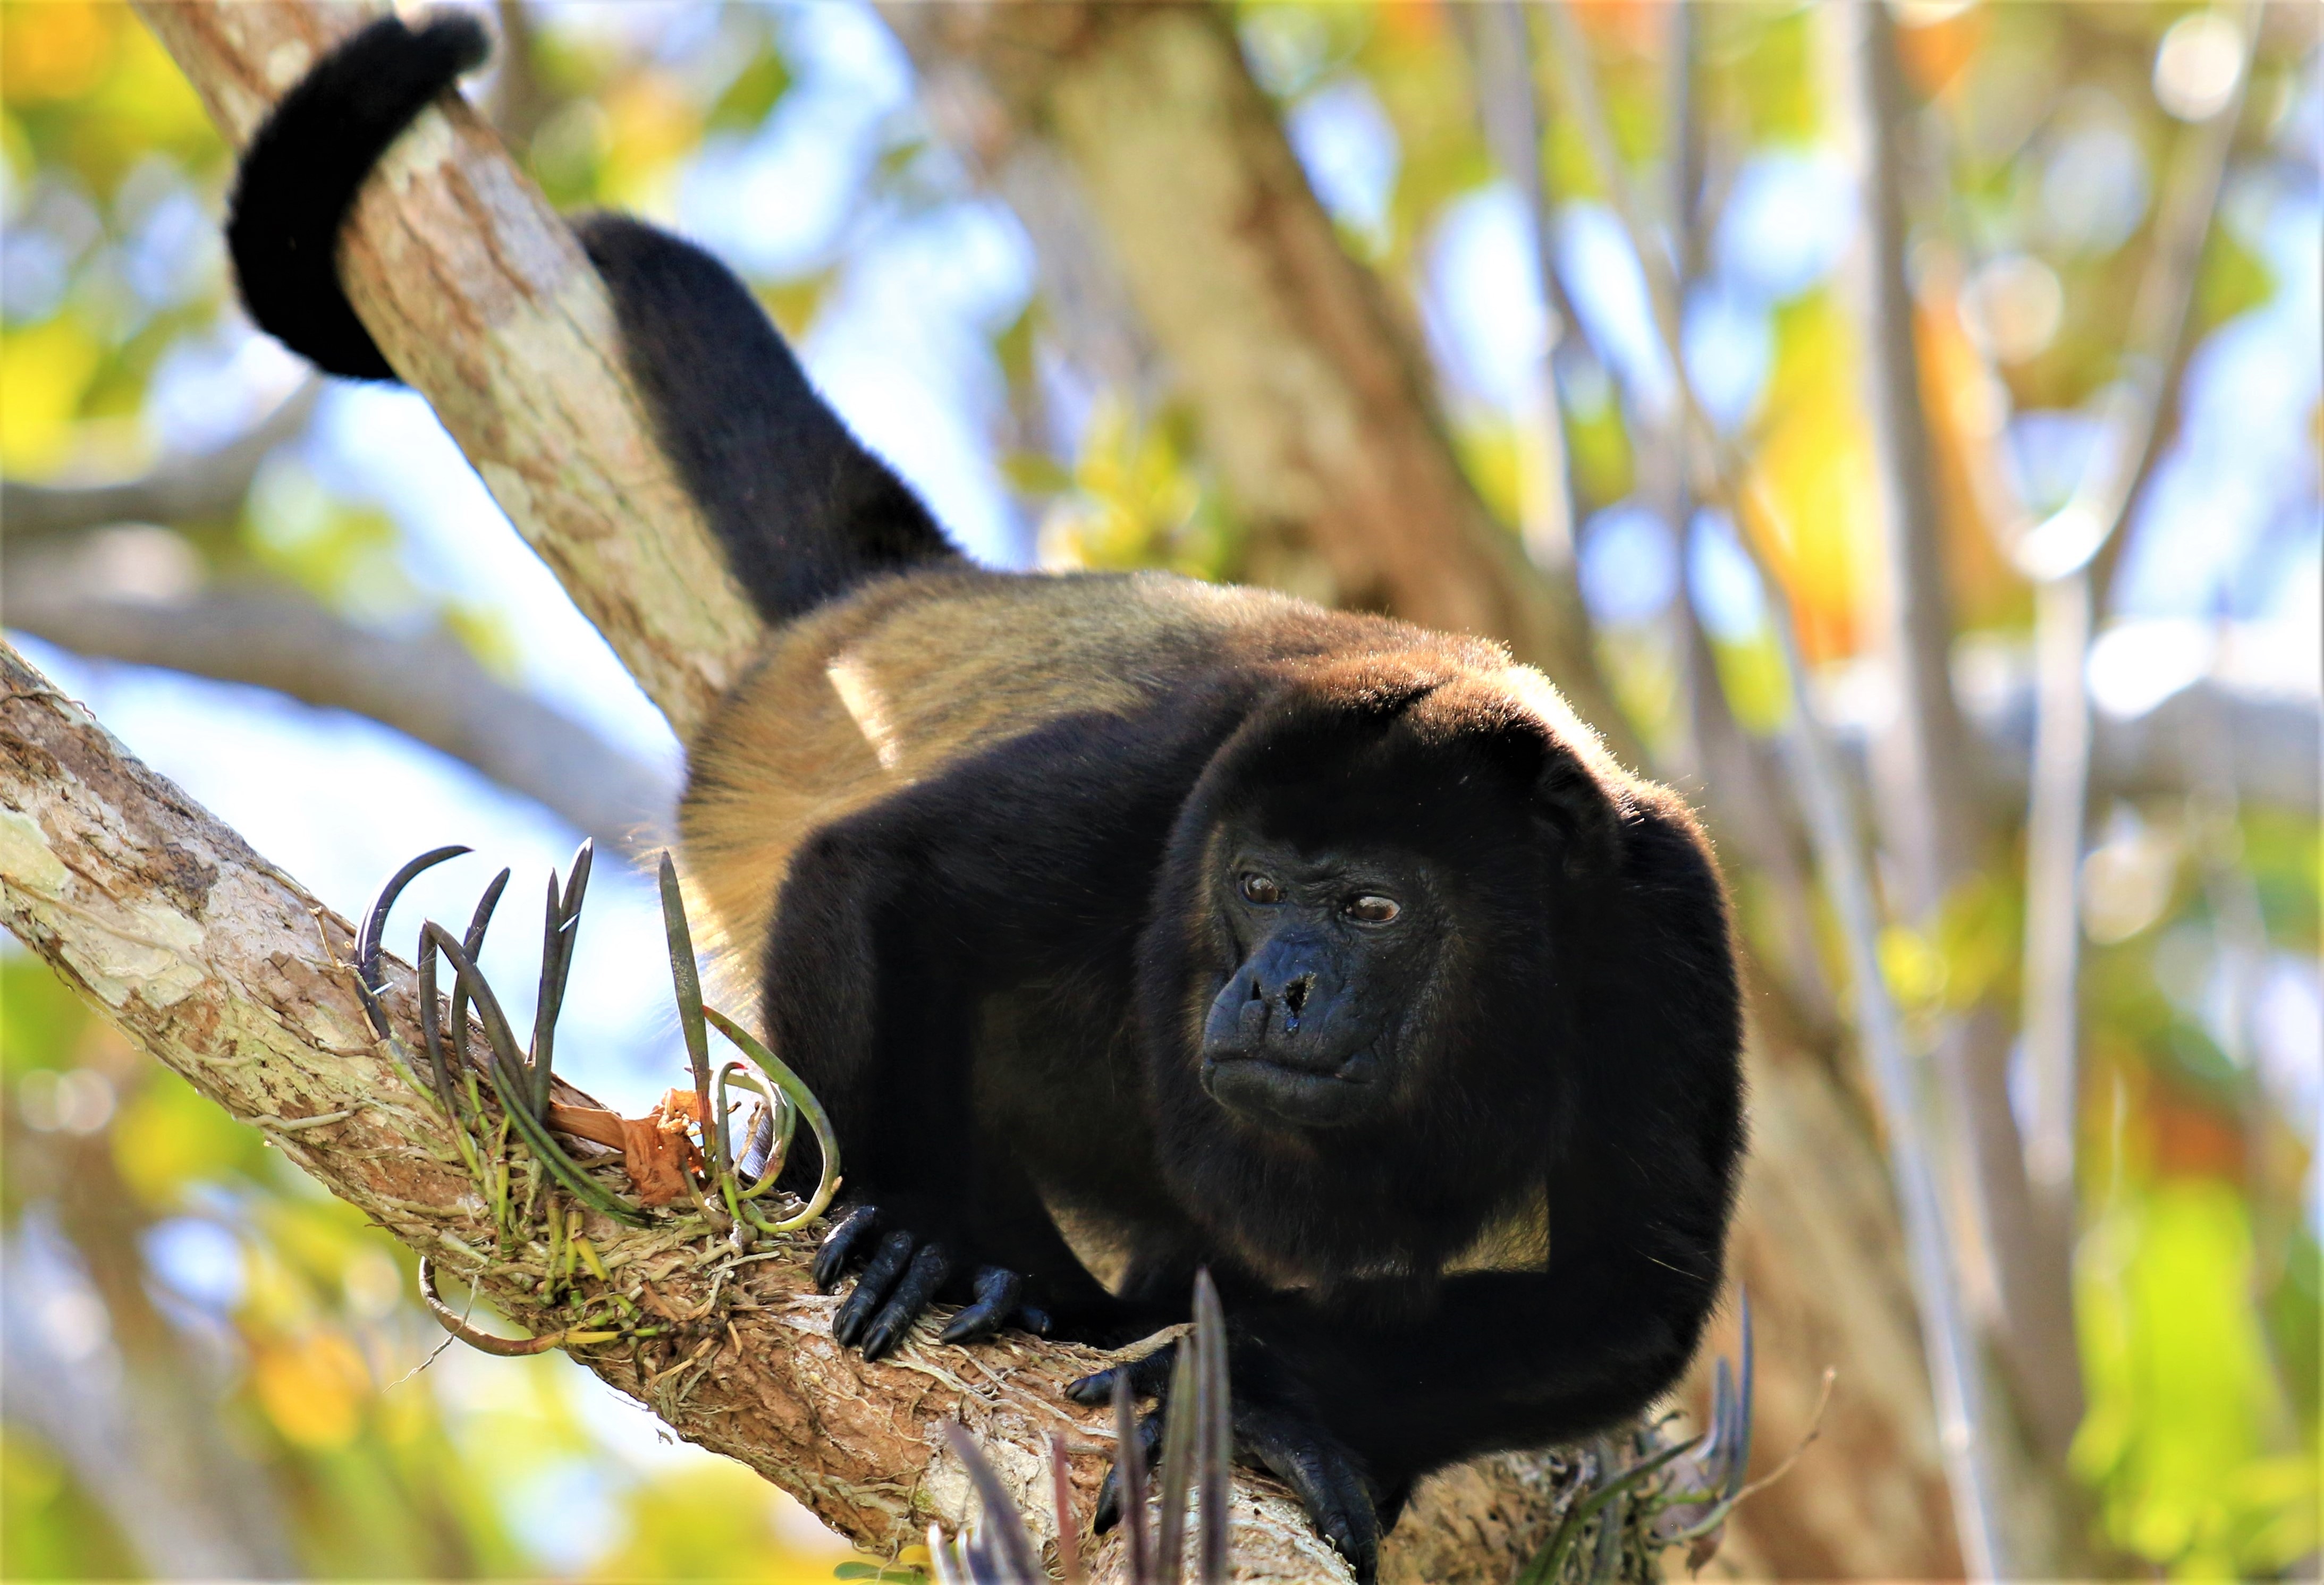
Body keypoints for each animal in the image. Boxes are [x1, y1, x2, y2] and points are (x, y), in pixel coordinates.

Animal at [231, 18, 1747, 1571]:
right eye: (1257, 885)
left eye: (1372, 908)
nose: (1272, 983)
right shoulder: (1180, 769)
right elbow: (887, 874)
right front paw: (927, 1232)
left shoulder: (1659, 922)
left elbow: (1622, 1294)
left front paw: (1264, 1396)